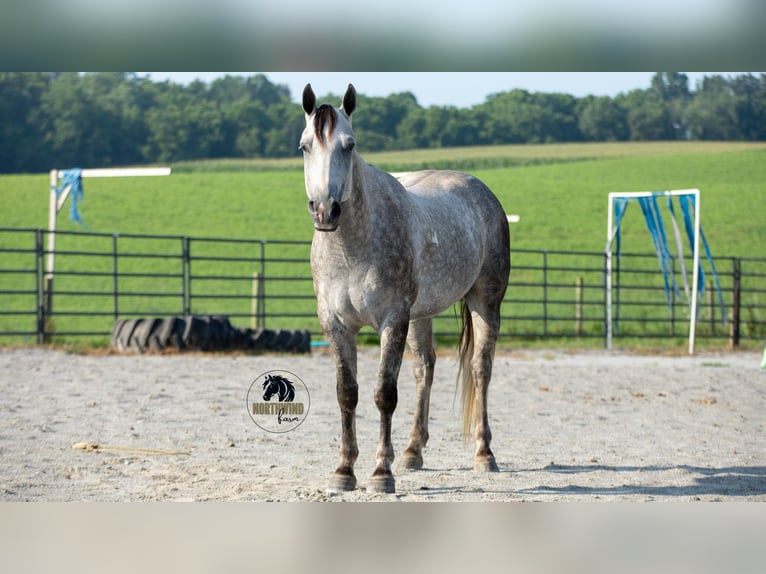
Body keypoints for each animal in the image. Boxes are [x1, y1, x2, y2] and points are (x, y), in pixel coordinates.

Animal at [300, 83, 510, 494]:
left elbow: (384, 394)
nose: (325, 210)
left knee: (481, 369)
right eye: (304, 146)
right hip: (421, 316)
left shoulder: (392, 320)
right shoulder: (335, 324)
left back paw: (484, 454)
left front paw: (381, 473)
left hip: (485, 301)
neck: (351, 247)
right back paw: (413, 451)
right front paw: (344, 471)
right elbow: (347, 393)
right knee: (424, 368)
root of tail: (483, 192)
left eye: (349, 145)